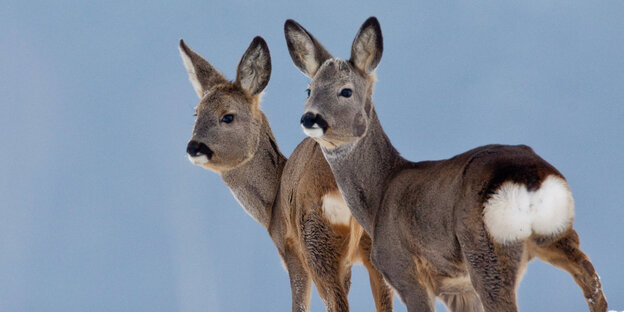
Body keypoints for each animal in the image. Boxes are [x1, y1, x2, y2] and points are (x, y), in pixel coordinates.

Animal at [178, 35, 392, 310]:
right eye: (196, 112)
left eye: (228, 116)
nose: (193, 147)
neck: (273, 202)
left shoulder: (291, 251)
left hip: (317, 242)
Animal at [286, 16, 608, 312]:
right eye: (309, 89)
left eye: (346, 90)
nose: (310, 118)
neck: (379, 197)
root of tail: (530, 179)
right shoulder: (457, 287)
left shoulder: (404, 269)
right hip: (558, 234)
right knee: (593, 284)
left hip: (486, 250)